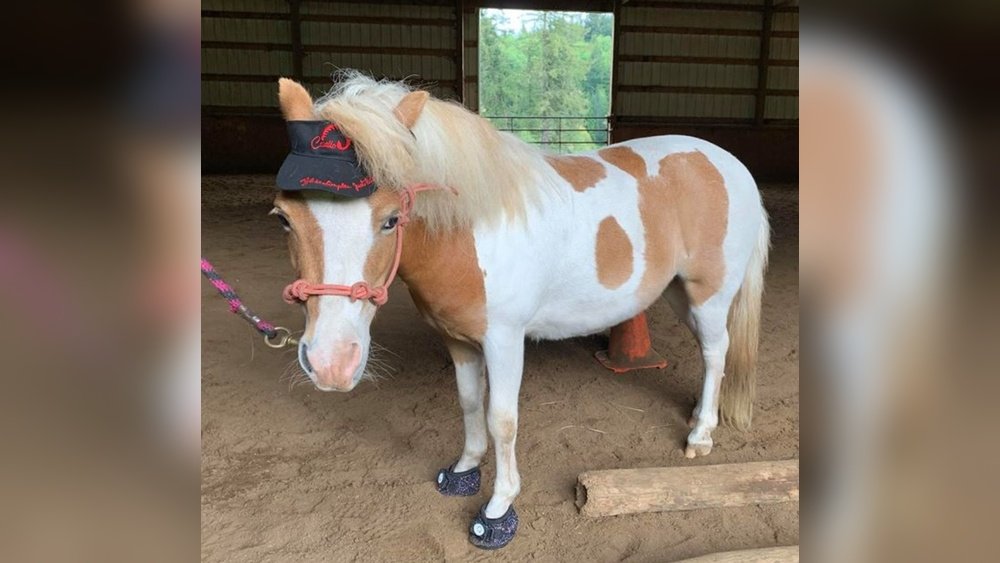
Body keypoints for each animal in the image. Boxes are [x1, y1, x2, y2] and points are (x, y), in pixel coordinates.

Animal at [269, 73, 769, 549]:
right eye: (284, 218)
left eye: (391, 219)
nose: (332, 364)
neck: (469, 227)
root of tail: (731, 165)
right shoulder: (457, 339)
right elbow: (470, 403)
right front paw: (464, 470)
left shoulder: (504, 340)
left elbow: (501, 420)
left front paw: (498, 508)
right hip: (678, 293)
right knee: (712, 355)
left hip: (709, 294)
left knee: (716, 353)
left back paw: (700, 435)